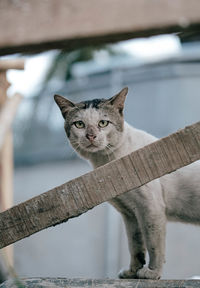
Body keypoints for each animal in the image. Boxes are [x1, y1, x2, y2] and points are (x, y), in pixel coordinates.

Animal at [54, 88, 200, 280]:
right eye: (79, 124)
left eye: (103, 123)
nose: (91, 135)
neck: (108, 164)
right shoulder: (130, 214)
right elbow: (135, 245)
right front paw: (132, 272)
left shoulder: (150, 208)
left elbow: (154, 244)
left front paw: (152, 273)